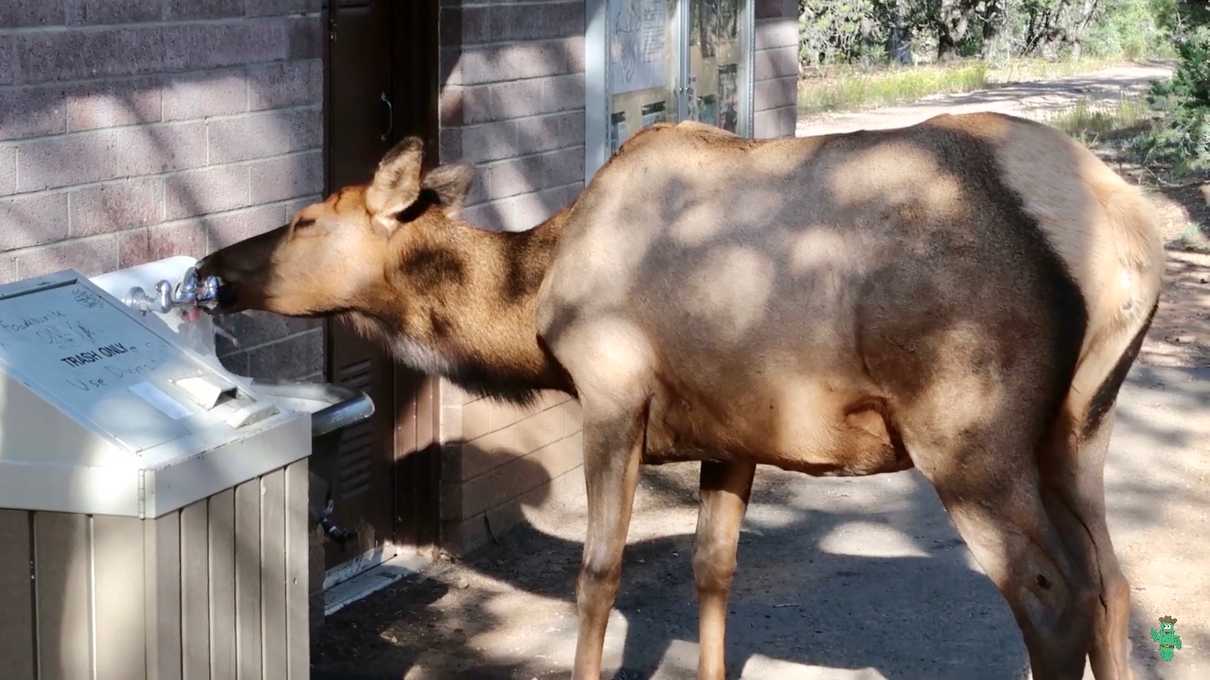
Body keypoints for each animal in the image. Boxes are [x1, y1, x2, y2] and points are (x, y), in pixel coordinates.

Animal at [198, 113, 1161, 677]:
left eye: (306, 220)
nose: (212, 268)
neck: (529, 306)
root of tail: (1128, 233)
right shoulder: (734, 433)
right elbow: (712, 569)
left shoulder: (611, 390)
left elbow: (597, 573)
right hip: (1080, 428)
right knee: (1112, 582)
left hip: (966, 431)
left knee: (1052, 592)